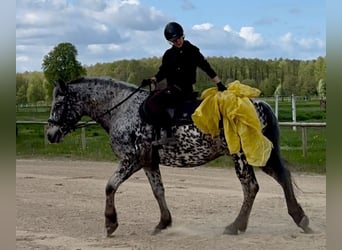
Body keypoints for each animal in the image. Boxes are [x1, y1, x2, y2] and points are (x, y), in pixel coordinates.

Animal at [46, 77, 312, 235]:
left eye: (58, 104)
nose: (50, 134)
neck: (123, 110)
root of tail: (259, 104)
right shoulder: (149, 162)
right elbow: (158, 191)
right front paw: (163, 222)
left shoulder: (131, 160)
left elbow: (110, 186)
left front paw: (111, 222)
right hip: (261, 155)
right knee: (282, 178)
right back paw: (299, 218)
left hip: (242, 157)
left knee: (251, 187)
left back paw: (236, 225)